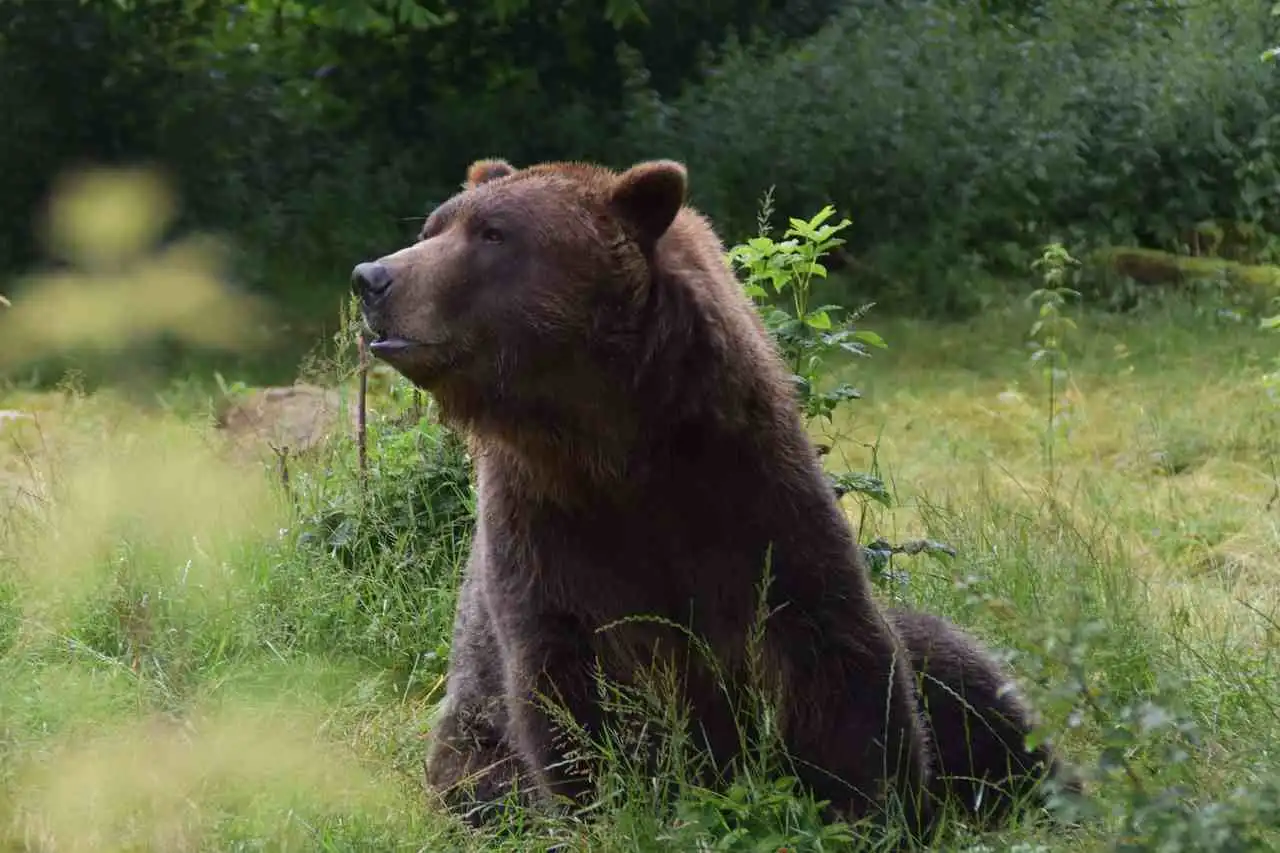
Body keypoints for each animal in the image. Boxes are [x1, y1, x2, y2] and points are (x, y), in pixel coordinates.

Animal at [350, 154, 1070, 835]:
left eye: (492, 232)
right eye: (434, 226)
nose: (371, 277)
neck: (610, 446)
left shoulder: (750, 490)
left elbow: (835, 655)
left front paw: (872, 808)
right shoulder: (544, 529)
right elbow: (572, 687)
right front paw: (626, 804)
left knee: (971, 680)